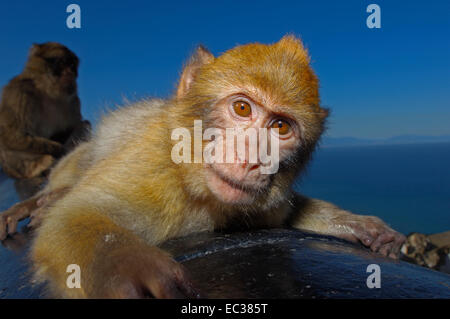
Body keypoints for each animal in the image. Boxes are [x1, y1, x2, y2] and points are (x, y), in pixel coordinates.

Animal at [0, 42, 90, 181]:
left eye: (71, 65)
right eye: (61, 62)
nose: (70, 72)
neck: (47, 90)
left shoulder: (74, 100)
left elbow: (75, 125)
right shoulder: (19, 92)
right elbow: (11, 134)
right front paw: (59, 150)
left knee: (84, 124)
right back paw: (39, 167)